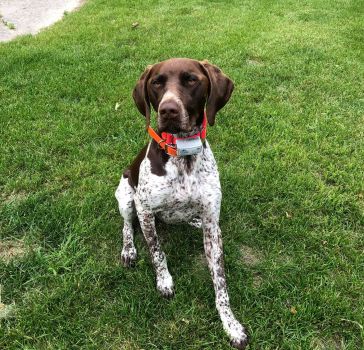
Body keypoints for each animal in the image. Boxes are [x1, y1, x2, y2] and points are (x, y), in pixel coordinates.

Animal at [115, 57, 249, 348]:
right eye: (157, 83)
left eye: (191, 79)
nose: (168, 110)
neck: (183, 156)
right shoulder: (145, 210)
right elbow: (157, 252)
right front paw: (164, 281)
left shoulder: (212, 222)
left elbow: (220, 282)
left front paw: (231, 324)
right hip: (126, 196)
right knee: (127, 226)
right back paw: (129, 250)